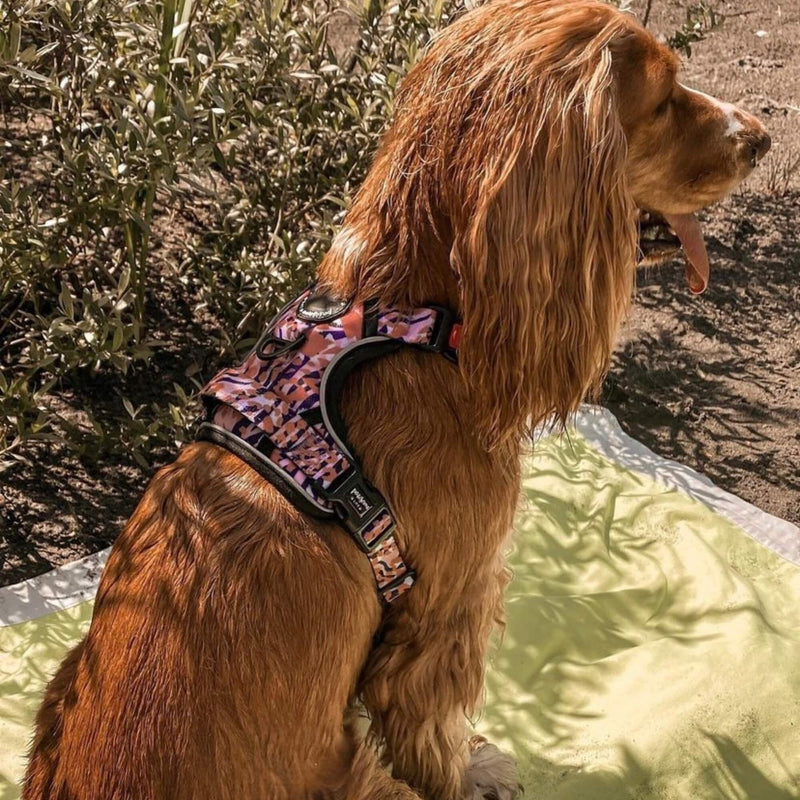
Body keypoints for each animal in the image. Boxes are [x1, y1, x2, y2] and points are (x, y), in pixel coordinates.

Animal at [23, 1, 768, 800]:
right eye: (662, 101)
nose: (762, 137)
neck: (409, 316)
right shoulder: (445, 611)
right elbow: (433, 730)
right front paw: (471, 772)